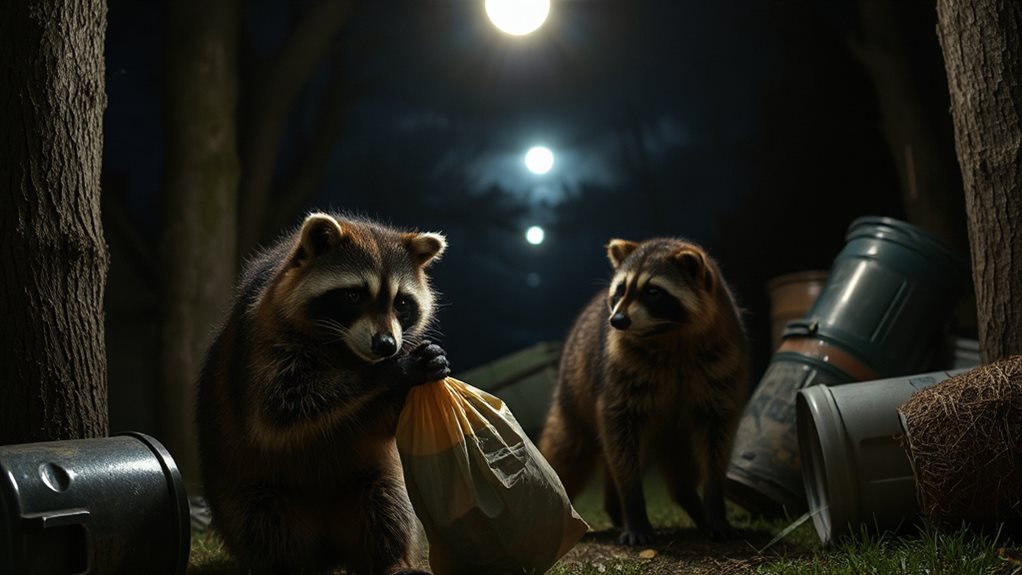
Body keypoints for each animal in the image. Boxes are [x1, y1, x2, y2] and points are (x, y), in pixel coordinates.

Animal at [196, 212, 451, 574]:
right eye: (354, 296)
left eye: (402, 302)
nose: (386, 347)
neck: (344, 347)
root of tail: (329, 550)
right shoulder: (264, 335)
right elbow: (281, 410)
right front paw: (391, 372)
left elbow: (385, 423)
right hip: (246, 490)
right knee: (260, 519)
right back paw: (281, 565)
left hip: (370, 483)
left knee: (388, 499)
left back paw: (390, 560)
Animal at [539, 238, 749, 546]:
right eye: (620, 290)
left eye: (653, 291)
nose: (617, 320)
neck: (669, 334)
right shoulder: (619, 371)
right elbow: (620, 438)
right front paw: (633, 505)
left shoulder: (722, 364)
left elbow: (715, 441)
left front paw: (715, 505)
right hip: (573, 388)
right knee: (569, 449)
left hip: (674, 431)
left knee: (682, 464)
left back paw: (691, 504)